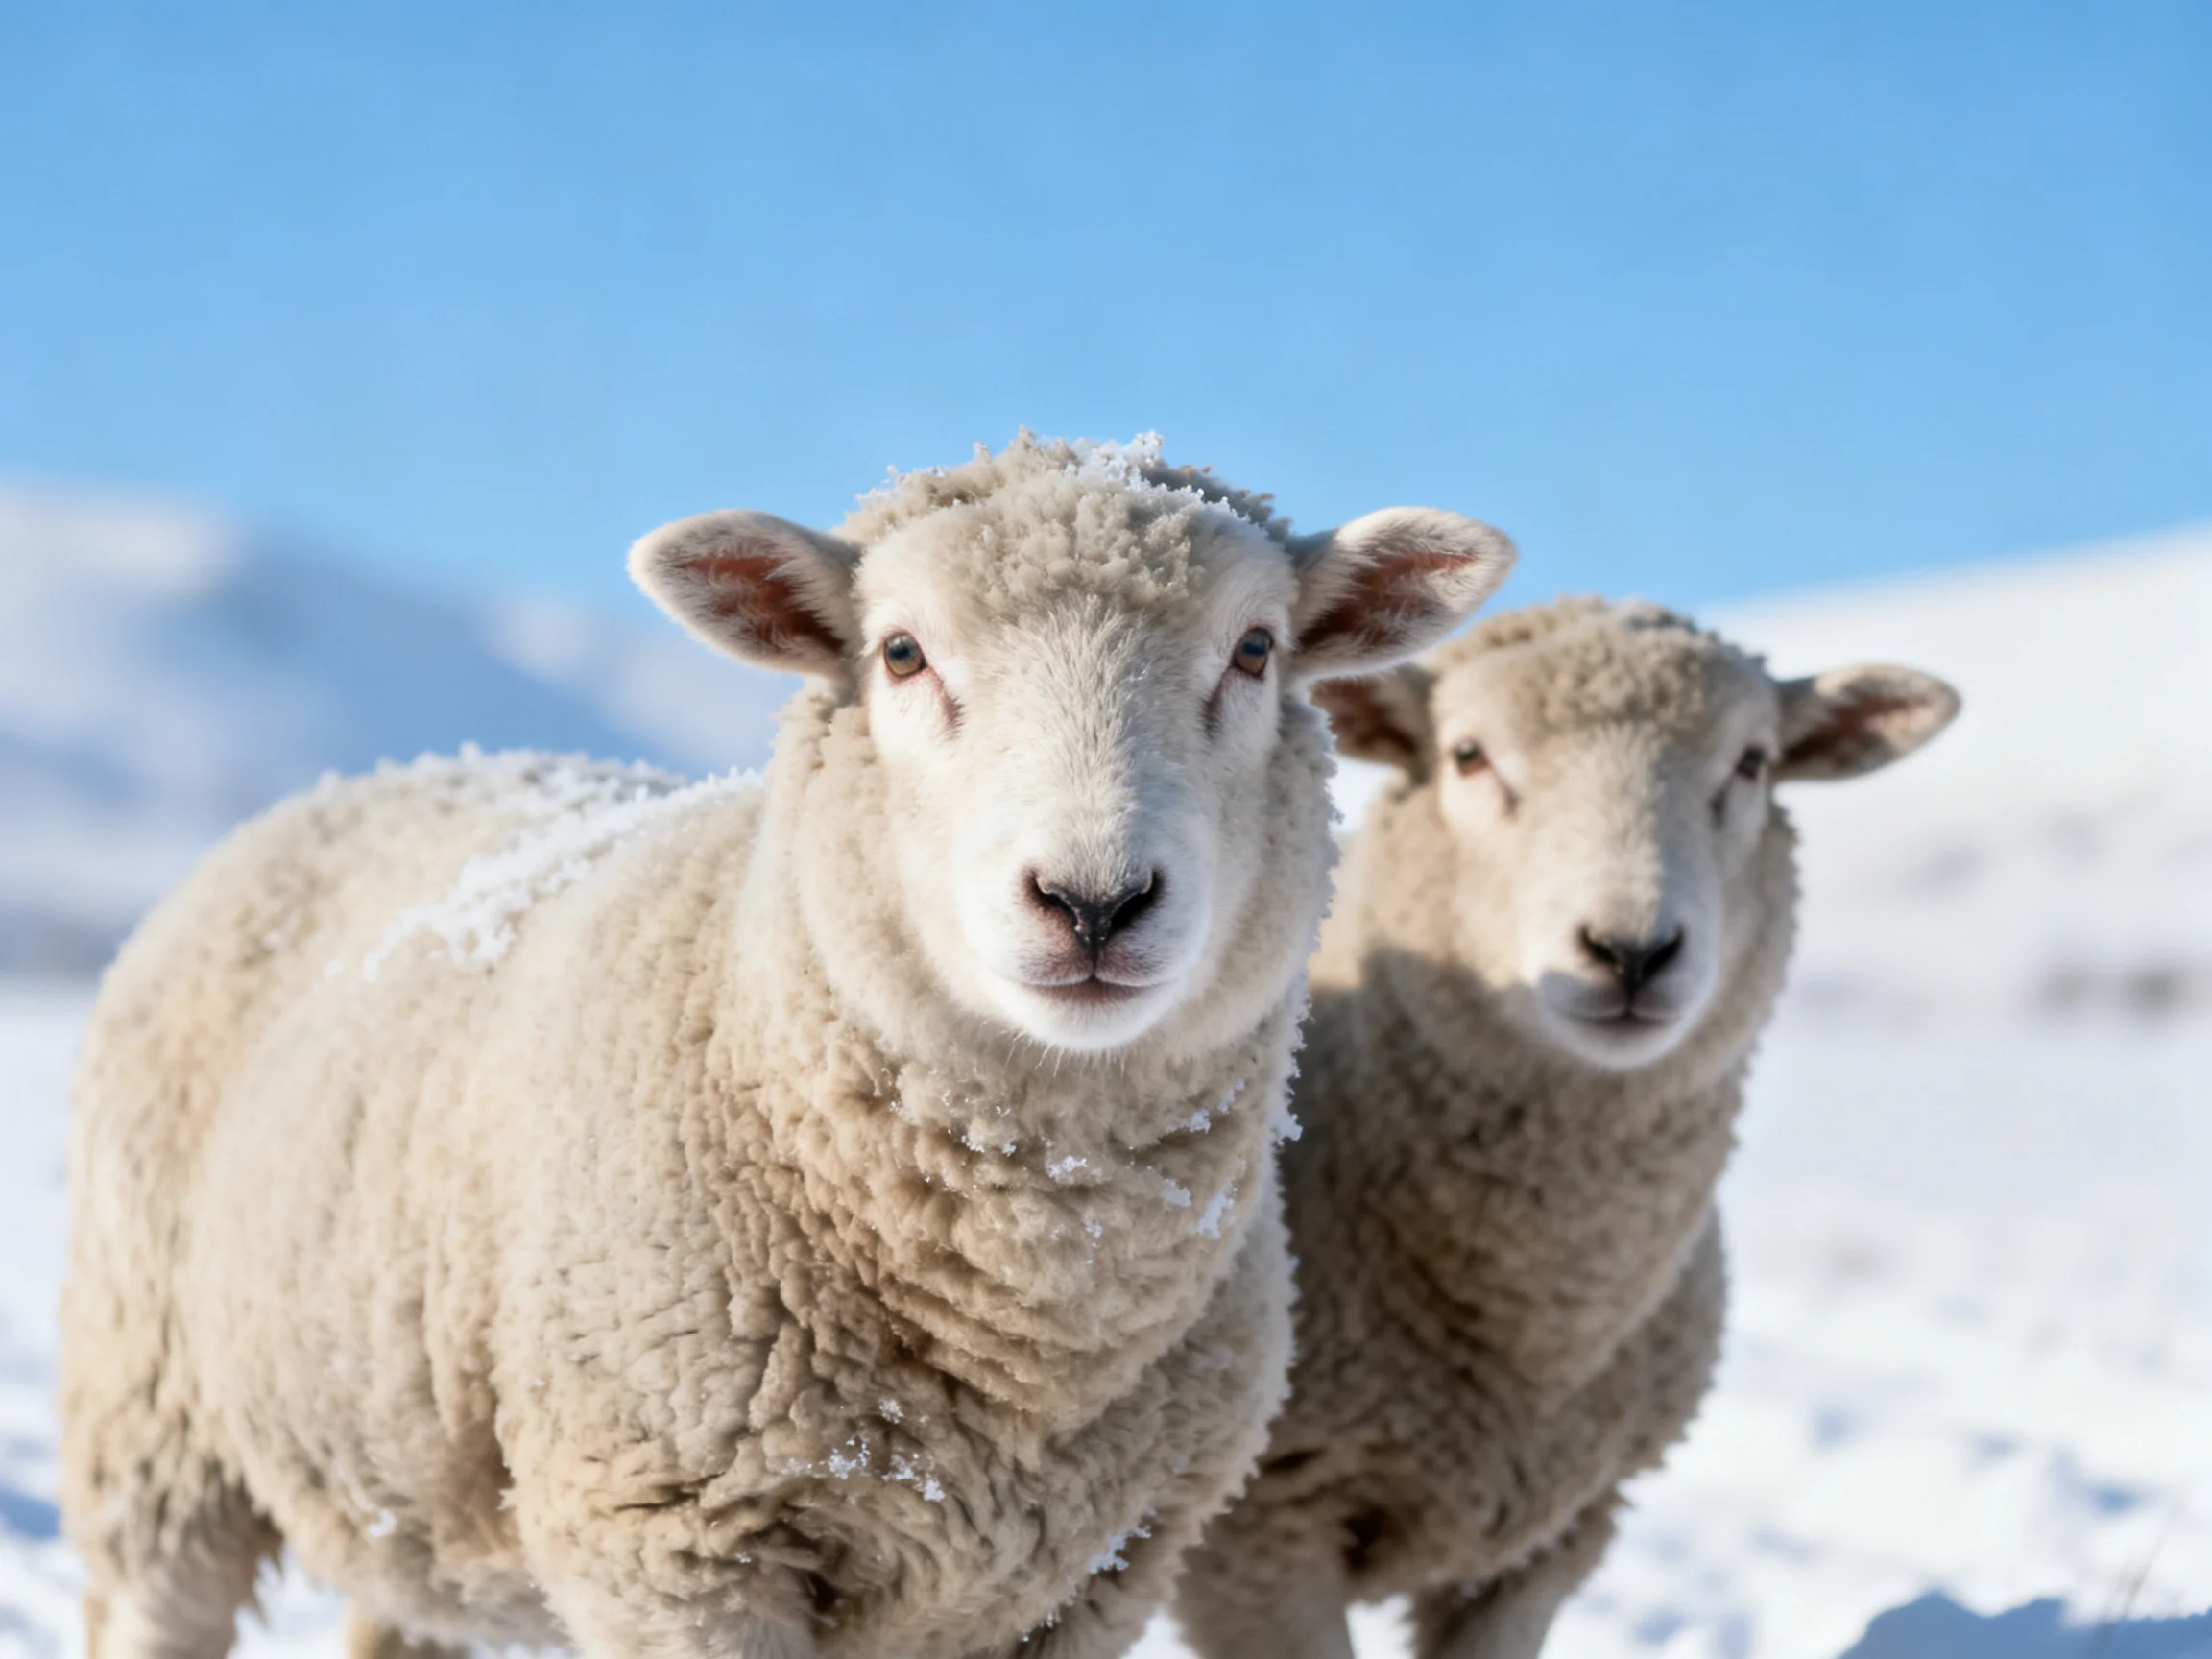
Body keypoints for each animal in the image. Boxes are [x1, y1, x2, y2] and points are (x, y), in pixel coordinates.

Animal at [58, 432, 1516, 1659]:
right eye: (902, 655)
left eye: (1258, 650)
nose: (1094, 901)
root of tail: (385, 769)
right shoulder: (678, 1545)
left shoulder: (1093, 1576)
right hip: (154, 1426)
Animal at [1173, 597, 1959, 1659]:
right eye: (1467, 754)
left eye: (1753, 761)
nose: (1631, 951)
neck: (1540, 1317)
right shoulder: (1259, 1536)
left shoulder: (1554, 1536)